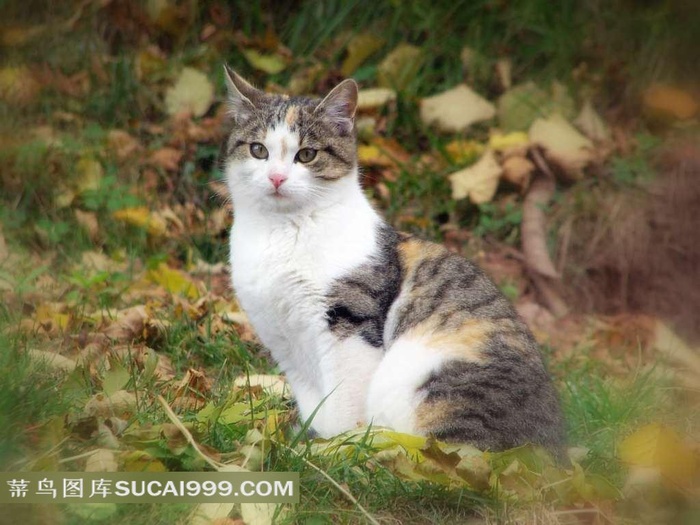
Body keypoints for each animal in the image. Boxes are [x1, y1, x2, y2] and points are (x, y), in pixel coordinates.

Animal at [221, 65, 568, 450]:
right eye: (258, 150)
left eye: (307, 155)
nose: (277, 178)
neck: (283, 232)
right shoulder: (284, 343)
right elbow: (315, 402)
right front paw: (312, 442)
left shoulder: (349, 323)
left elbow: (343, 403)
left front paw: (331, 450)